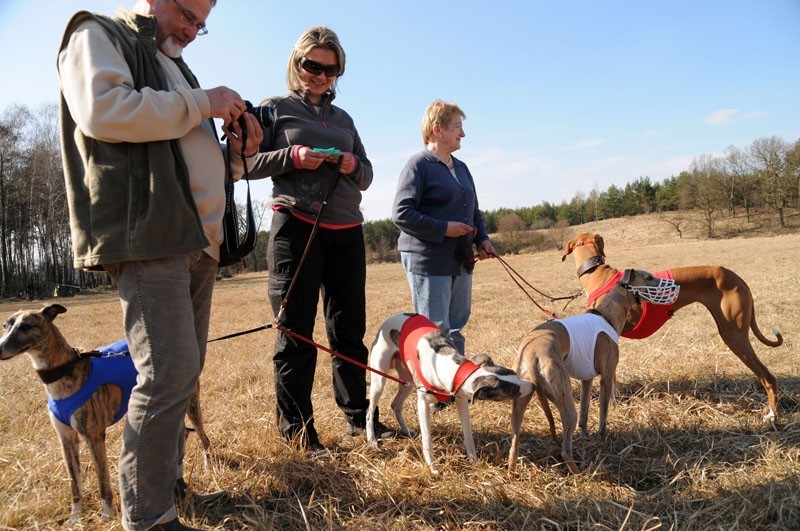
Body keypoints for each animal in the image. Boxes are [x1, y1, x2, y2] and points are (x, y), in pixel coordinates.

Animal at [0, 306, 211, 524]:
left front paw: (107, 516)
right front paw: (75, 518)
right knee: (182, 434)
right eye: (5, 325)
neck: (66, 370)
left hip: (191, 406)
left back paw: (207, 468)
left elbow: (103, 481)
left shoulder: (94, 437)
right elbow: (74, 484)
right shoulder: (66, 439)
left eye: (26, 326)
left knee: (204, 438)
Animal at [368, 312, 532, 474]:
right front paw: (433, 468)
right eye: (512, 391)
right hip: (379, 380)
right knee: (370, 412)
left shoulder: (461, 399)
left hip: (407, 381)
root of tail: (392, 317)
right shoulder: (423, 404)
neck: (447, 365)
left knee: (395, 405)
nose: (532, 385)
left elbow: (468, 435)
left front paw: (474, 462)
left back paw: (406, 431)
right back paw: (372, 441)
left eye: (515, 374)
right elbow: (427, 440)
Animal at [506, 270, 676, 474]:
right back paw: (580, 474)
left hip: (520, 404)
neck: (606, 315)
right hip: (565, 400)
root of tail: (532, 357)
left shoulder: (586, 379)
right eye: (649, 277)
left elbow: (585, 414)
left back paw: (512, 474)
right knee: (565, 449)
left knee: (513, 447)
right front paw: (602, 436)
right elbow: (604, 413)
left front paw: (586, 436)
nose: (675, 285)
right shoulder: (606, 378)